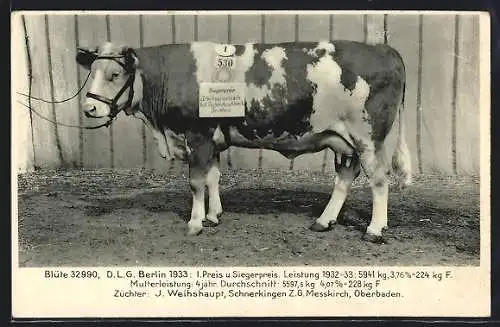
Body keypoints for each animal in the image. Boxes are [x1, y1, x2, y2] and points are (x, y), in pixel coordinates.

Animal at [74, 39, 410, 243]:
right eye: (92, 72)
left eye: (115, 74)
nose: (89, 108)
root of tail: (386, 50)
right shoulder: (212, 139)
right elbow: (213, 177)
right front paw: (213, 216)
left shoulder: (197, 136)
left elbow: (196, 182)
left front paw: (195, 223)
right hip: (343, 140)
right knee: (344, 177)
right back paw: (323, 221)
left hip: (367, 137)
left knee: (379, 179)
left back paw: (374, 230)